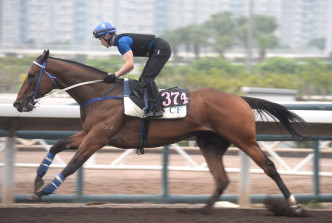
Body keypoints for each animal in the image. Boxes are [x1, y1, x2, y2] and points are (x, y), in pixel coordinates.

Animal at [14, 50, 308, 216]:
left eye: (31, 75)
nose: (18, 104)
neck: (99, 93)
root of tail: (240, 98)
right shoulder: (87, 133)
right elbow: (55, 147)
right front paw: (37, 182)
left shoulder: (98, 138)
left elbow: (72, 165)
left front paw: (43, 191)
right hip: (210, 143)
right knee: (222, 178)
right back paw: (204, 210)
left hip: (243, 138)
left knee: (269, 166)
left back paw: (293, 205)